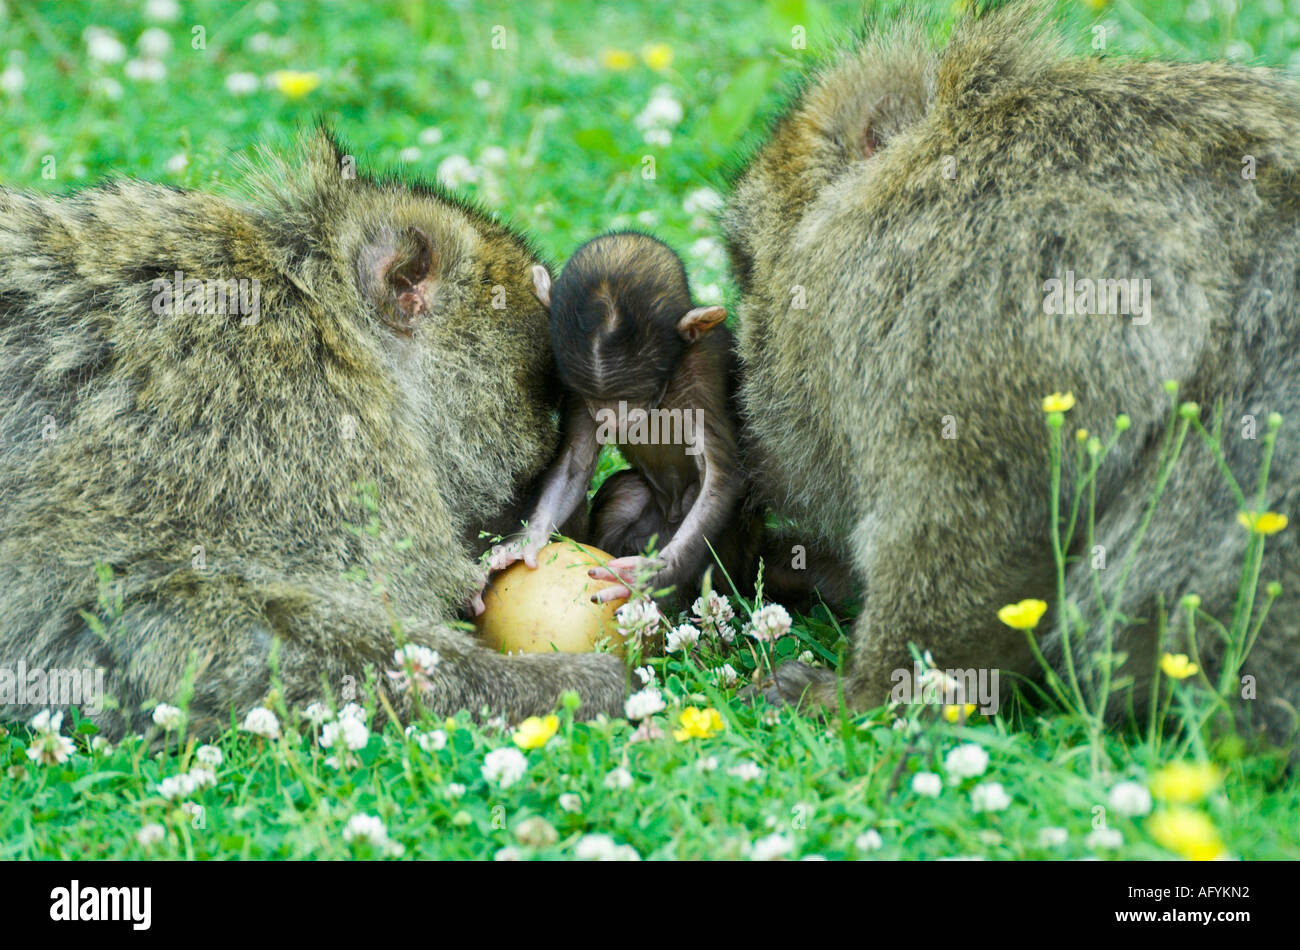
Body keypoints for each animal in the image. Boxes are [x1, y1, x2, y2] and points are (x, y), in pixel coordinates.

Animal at [475, 232, 743, 608]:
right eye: (594, 396)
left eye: (635, 393)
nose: (611, 419)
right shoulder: (574, 381)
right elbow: (574, 463)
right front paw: (524, 542)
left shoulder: (705, 366)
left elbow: (718, 478)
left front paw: (648, 576)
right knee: (625, 493)